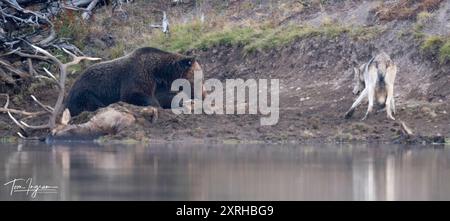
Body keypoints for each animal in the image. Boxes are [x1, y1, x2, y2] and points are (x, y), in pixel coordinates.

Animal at [64, 46, 203, 115]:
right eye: (200, 79)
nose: (203, 94)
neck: (159, 72)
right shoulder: (137, 75)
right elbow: (133, 94)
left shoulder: (159, 86)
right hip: (85, 92)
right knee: (90, 102)